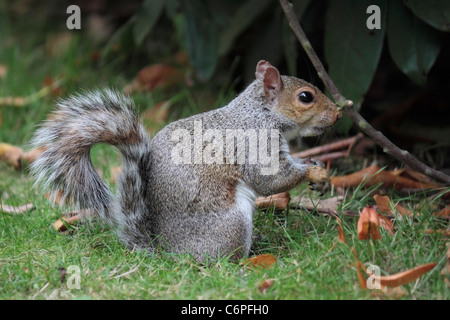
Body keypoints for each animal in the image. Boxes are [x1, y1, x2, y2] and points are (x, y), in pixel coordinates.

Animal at [30, 61, 342, 262]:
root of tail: (166, 251)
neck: (260, 113)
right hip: (231, 223)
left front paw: (318, 169)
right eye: (306, 97)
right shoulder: (254, 143)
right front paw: (314, 174)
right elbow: (270, 180)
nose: (339, 114)